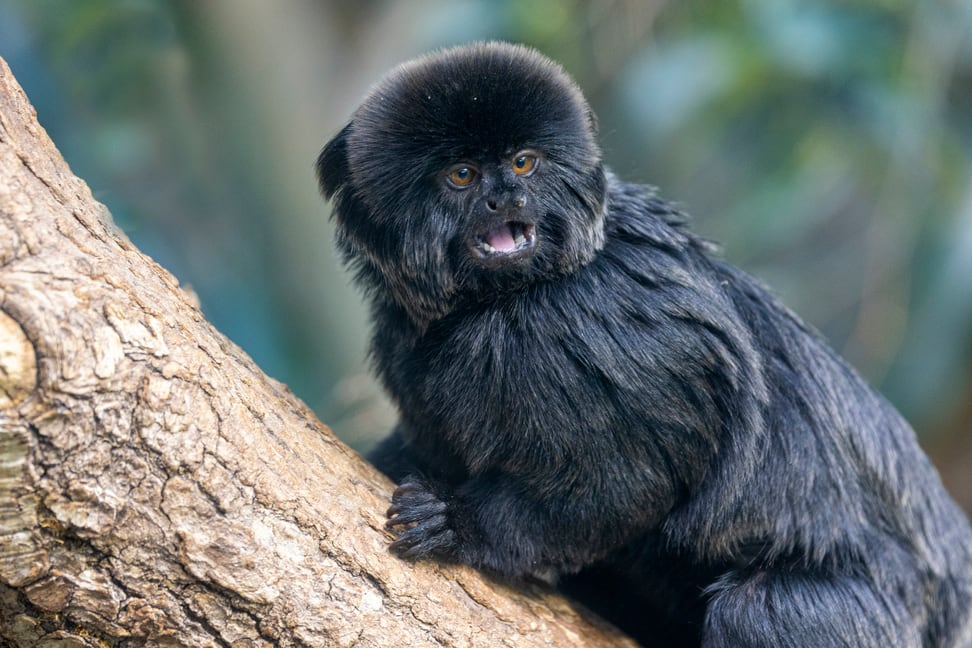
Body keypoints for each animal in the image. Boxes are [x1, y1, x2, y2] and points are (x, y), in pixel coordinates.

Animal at [318, 41, 972, 648]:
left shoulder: (594, 325)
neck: (493, 303)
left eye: (523, 164)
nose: (506, 198)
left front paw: (464, 525)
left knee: (758, 613)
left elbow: (635, 475)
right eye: (463, 176)